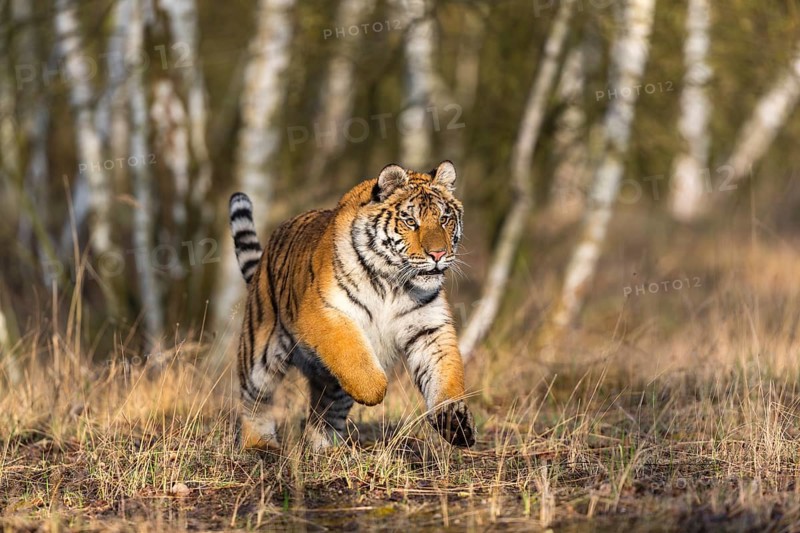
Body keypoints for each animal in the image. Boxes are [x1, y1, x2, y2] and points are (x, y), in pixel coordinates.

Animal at [228, 160, 475, 451]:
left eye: (444, 219)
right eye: (410, 222)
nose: (438, 254)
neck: (394, 283)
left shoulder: (429, 327)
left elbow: (444, 372)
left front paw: (454, 422)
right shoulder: (324, 311)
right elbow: (353, 354)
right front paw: (375, 391)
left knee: (325, 413)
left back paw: (325, 449)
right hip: (259, 353)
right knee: (256, 399)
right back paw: (259, 445)